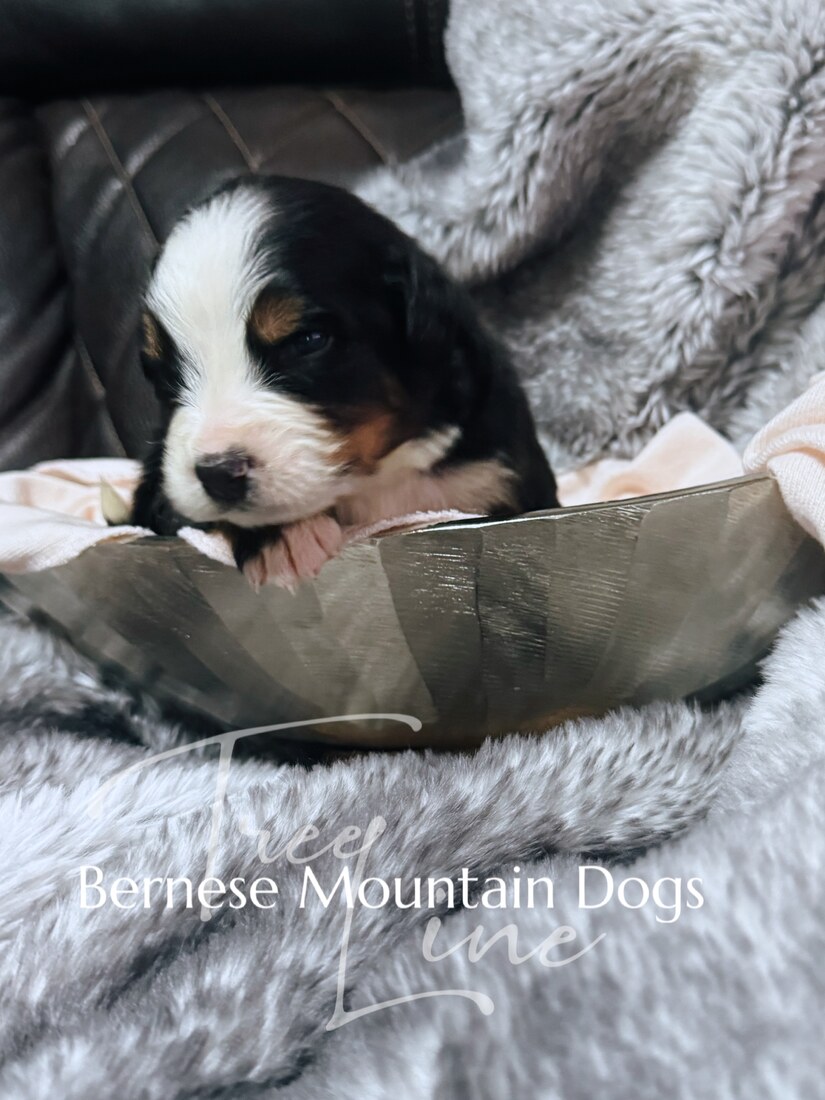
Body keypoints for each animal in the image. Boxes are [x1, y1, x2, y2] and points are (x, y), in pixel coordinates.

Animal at [132, 176, 558, 588]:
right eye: (162, 370)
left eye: (308, 340)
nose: (218, 473)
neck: (379, 478)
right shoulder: (157, 496)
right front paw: (280, 535)